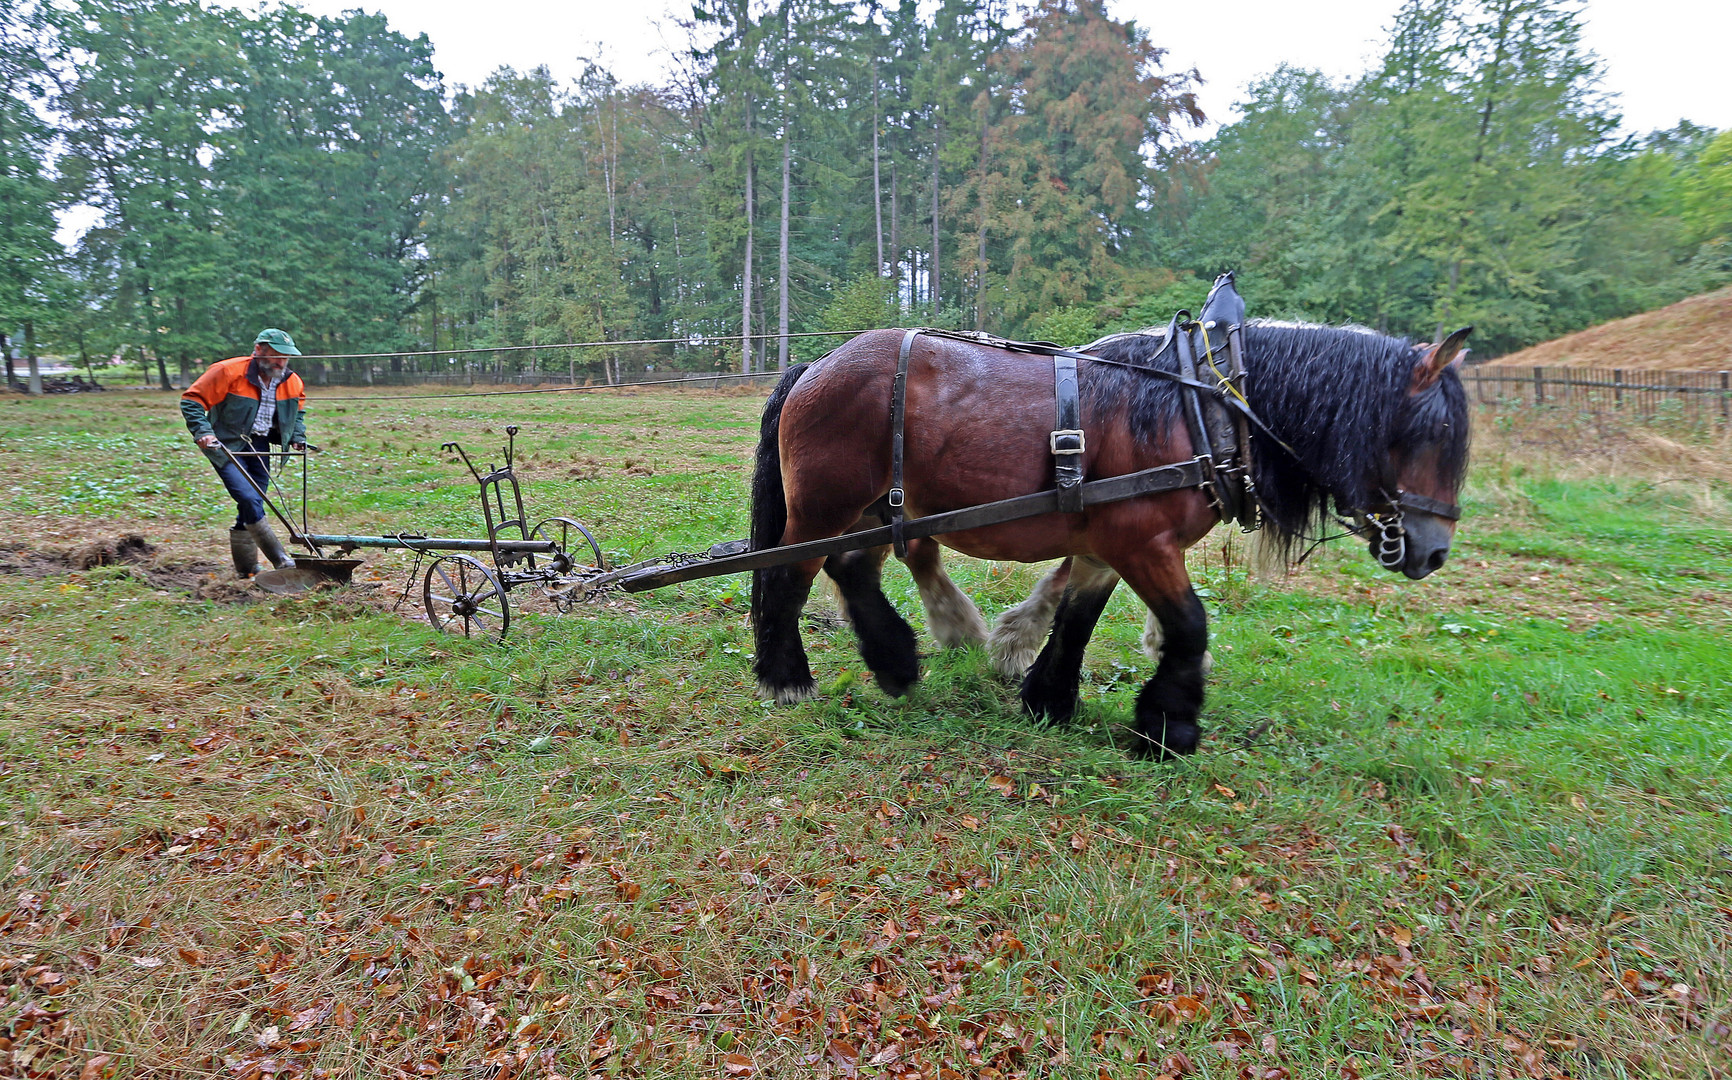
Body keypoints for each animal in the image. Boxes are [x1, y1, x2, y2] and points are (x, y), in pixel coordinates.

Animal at [751, 320, 1468, 758]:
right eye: (1430, 433)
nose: (1433, 552)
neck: (1198, 410)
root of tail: (818, 364)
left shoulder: (1104, 546)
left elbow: (1077, 618)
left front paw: (1047, 698)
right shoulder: (1143, 542)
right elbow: (1189, 625)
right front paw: (1169, 724)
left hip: (876, 510)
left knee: (852, 570)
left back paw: (897, 662)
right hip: (823, 509)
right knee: (788, 576)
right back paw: (788, 678)